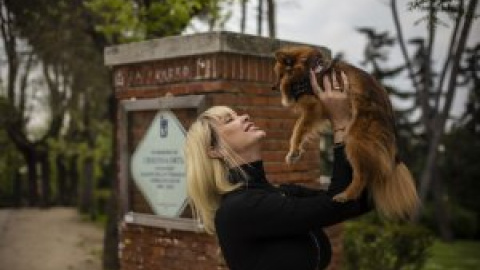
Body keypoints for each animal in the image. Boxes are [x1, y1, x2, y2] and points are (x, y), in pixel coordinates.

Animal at [274, 46, 420, 219]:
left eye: (279, 75)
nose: (273, 87)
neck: (305, 68)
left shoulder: (314, 106)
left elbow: (298, 128)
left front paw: (294, 149)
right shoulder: (316, 111)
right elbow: (300, 128)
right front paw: (295, 152)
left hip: (355, 138)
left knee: (362, 174)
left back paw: (347, 194)